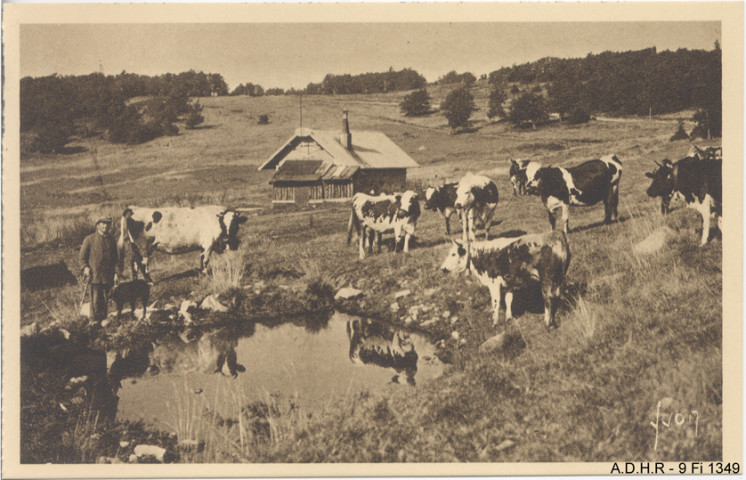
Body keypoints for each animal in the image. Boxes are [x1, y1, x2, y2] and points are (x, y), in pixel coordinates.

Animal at [117, 205, 247, 280]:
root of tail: (135, 209)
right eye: (223, 224)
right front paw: (204, 275)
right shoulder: (207, 244)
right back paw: (150, 282)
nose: (227, 239)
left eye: (235, 224)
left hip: (135, 246)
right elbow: (204, 261)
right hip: (144, 247)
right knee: (142, 264)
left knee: (133, 262)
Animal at [436, 230, 568, 330]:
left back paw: (547, 323)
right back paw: (553, 320)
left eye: (453, 254)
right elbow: (508, 300)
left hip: (547, 280)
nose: (442, 268)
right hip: (558, 280)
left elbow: (496, 303)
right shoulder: (508, 282)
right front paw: (508, 318)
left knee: (548, 300)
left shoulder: (493, 283)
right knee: (556, 297)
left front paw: (494, 323)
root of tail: (555, 235)